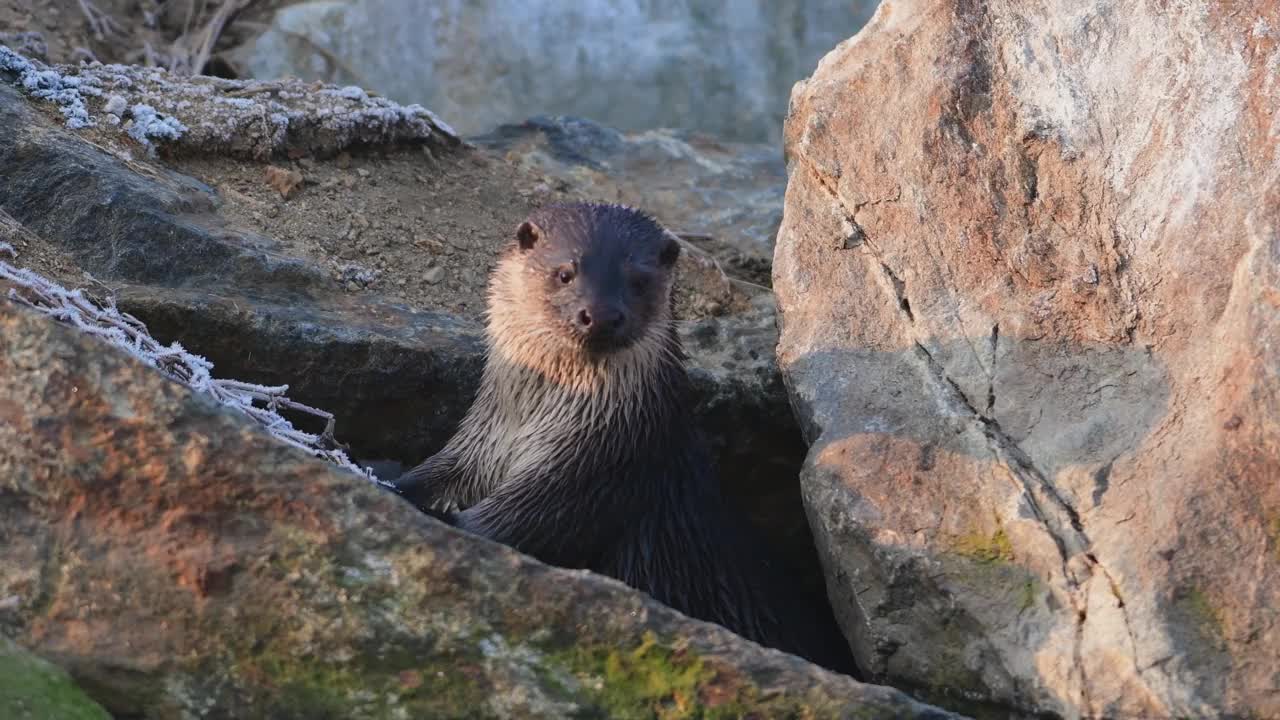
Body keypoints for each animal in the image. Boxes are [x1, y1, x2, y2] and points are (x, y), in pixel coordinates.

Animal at [396, 199, 860, 671]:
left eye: (638, 281)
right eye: (565, 272)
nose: (600, 314)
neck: (533, 424)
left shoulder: (594, 474)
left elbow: (514, 521)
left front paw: (445, 519)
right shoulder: (483, 442)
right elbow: (442, 472)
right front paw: (401, 486)